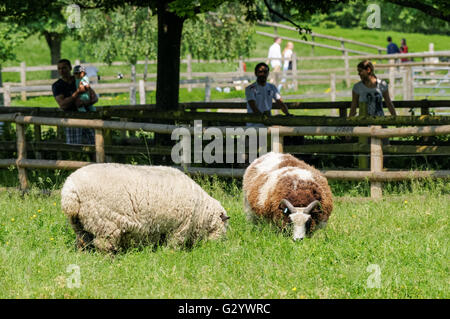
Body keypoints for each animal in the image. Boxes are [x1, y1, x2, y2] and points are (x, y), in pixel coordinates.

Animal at [61, 165, 230, 252]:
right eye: (224, 226)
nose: (217, 246)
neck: (201, 212)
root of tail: (70, 189)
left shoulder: (161, 227)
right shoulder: (180, 227)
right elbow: (174, 244)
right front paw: (171, 254)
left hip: (80, 222)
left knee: (83, 241)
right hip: (105, 223)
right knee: (104, 244)